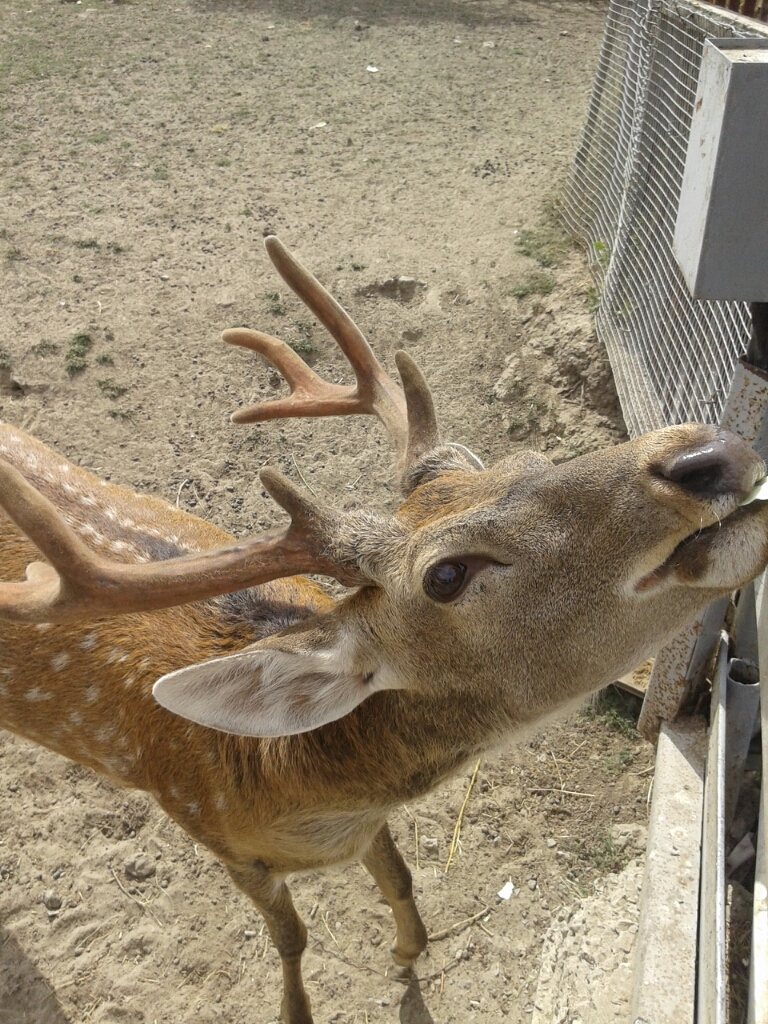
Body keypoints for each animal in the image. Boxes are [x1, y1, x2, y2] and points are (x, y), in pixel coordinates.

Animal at [1, 234, 768, 1024]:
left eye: (527, 459)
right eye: (446, 575)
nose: (705, 454)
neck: (289, 787)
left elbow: (400, 876)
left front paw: (407, 954)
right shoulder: (216, 837)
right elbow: (292, 938)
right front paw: (298, 1010)